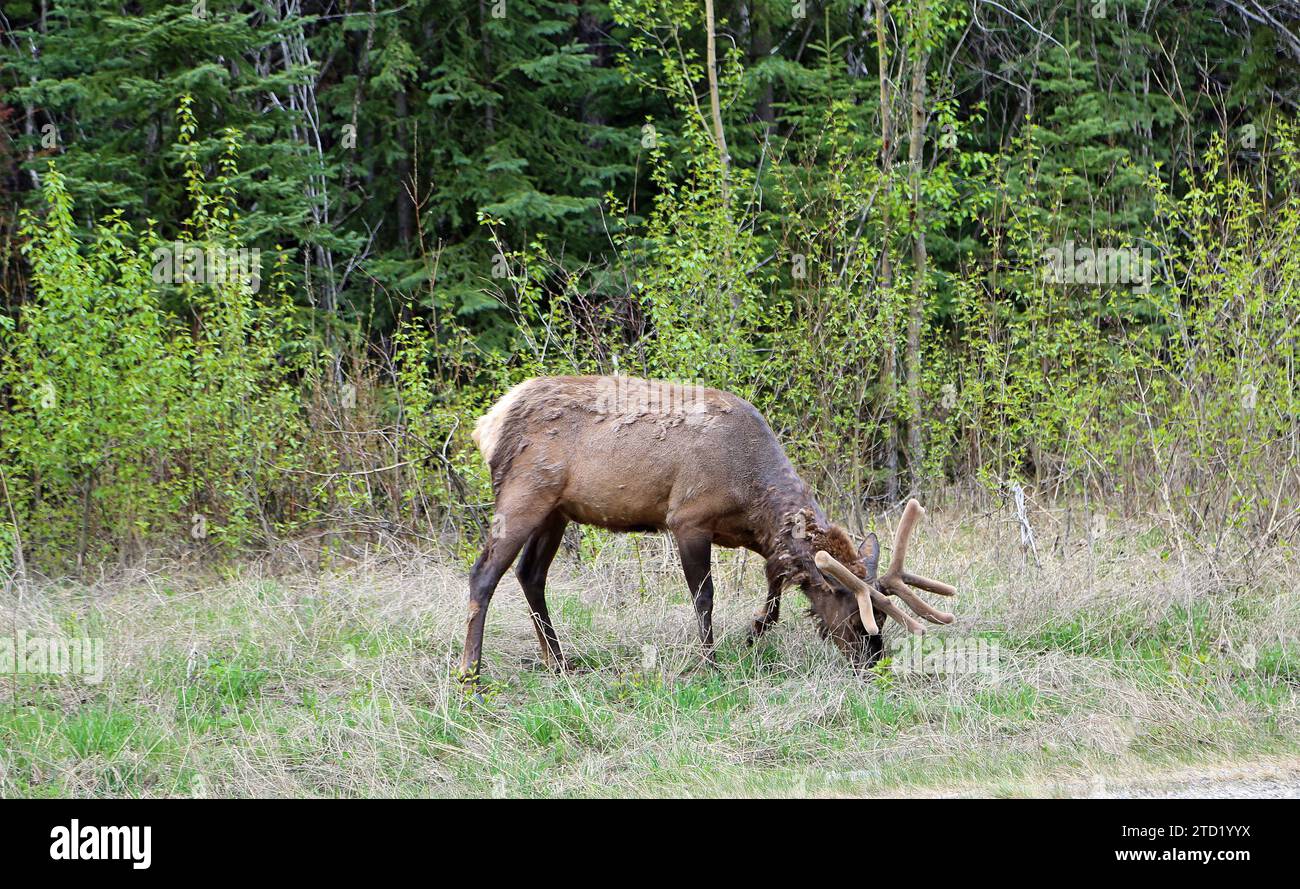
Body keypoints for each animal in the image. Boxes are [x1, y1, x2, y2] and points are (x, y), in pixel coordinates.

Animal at [462, 374, 951, 681]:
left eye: (882, 618)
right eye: (856, 616)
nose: (872, 664)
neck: (751, 493)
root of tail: (488, 422)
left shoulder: (752, 537)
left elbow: (775, 582)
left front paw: (754, 631)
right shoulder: (688, 518)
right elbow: (705, 597)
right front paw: (710, 664)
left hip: (558, 510)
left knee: (530, 574)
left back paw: (558, 663)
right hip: (525, 491)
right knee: (484, 573)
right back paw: (472, 672)